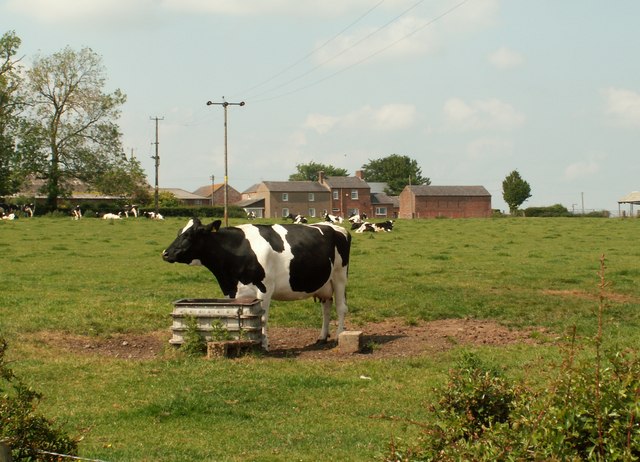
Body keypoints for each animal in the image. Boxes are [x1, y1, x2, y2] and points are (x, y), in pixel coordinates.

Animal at [160, 218, 350, 348]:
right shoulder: (232, 291)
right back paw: (322, 336)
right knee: (326, 307)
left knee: (341, 307)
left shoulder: (265, 288)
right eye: (179, 232)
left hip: (340, 276)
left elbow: (262, 317)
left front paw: (264, 344)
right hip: (325, 283)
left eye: (189, 235)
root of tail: (335, 227)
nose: (165, 253)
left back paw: (340, 336)